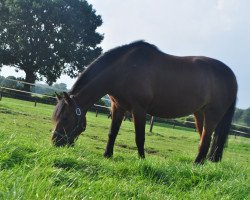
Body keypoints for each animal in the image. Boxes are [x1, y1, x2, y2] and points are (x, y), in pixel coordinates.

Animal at [51, 39, 237, 163]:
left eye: (65, 118)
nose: (55, 142)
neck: (124, 70)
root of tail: (231, 75)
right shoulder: (117, 106)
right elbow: (112, 133)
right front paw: (107, 155)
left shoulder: (138, 109)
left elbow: (139, 137)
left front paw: (142, 159)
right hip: (200, 114)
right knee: (206, 139)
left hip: (212, 115)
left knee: (205, 140)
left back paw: (196, 164)